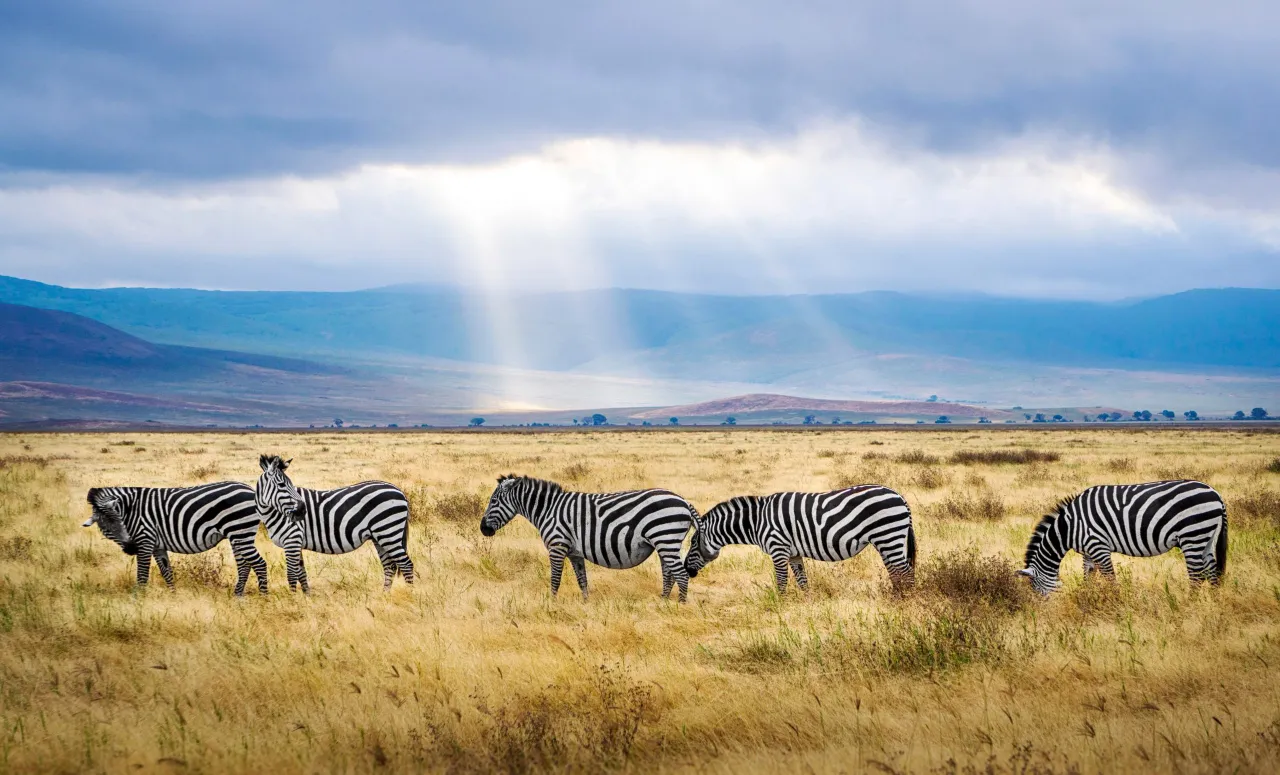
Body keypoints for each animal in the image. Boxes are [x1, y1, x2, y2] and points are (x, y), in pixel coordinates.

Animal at [82, 481, 267, 594]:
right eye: (106, 528)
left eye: (121, 522)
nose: (131, 548)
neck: (131, 509)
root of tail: (250, 489)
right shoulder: (157, 546)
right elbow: (167, 572)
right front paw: (173, 595)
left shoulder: (145, 540)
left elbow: (142, 575)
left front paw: (138, 600)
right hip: (237, 536)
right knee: (244, 565)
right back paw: (238, 596)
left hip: (240, 532)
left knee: (259, 564)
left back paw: (263, 598)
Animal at [257, 453, 417, 591]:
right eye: (282, 485)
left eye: (289, 484)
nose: (303, 510)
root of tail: (399, 491)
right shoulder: (296, 543)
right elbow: (301, 574)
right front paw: (307, 597)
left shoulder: (292, 539)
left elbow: (291, 575)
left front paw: (294, 599)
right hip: (380, 537)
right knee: (390, 566)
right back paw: (385, 596)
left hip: (389, 532)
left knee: (406, 564)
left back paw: (409, 594)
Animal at [481, 471, 701, 604]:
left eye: (493, 501)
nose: (483, 529)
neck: (548, 510)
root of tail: (683, 501)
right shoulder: (575, 552)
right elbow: (582, 580)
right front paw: (586, 604)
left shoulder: (557, 546)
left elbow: (555, 579)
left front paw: (552, 604)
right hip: (664, 542)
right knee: (669, 573)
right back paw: (663, 601)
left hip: (665, 538)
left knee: (681, 574)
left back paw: (679, 606)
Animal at [686, 486, 916, 594]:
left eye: (693, 543)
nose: (688, 570)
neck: (756, 521)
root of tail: (899, 496)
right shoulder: (793, 553)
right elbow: (802, 581)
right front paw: (807, 605)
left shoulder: (778, 549)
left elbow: (781, 582)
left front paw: (780, 607)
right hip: (887, 540)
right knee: (896, 571)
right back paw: (896, 597)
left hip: (888, 535)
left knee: (905, 571)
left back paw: (907, 601)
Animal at [1018, 476, 1228, 591]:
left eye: (1035, 588)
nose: (1040, 611)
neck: (1069, 527)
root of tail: (1216, 493)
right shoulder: (1088, 551)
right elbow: (1088, 577)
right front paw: (1086, 599)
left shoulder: (1098, 546)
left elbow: (1110, 579)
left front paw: (1115, 605)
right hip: (1206, 537)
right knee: (1212, 572)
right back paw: (1213, 606)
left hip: (1192, 535)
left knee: (1197, 576)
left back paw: (1188, 607)